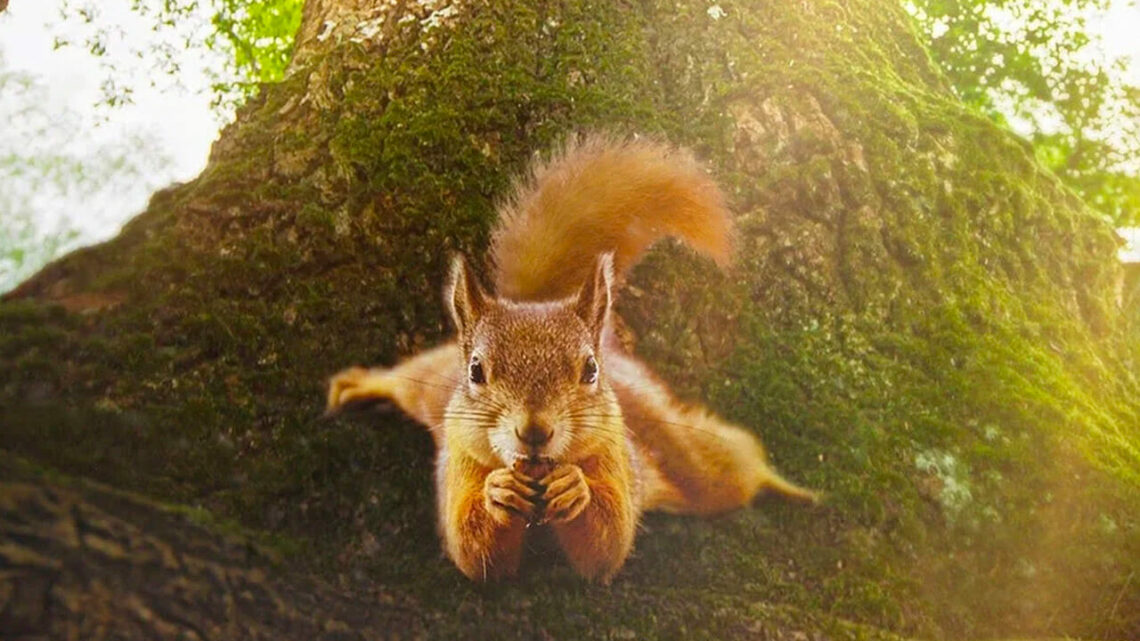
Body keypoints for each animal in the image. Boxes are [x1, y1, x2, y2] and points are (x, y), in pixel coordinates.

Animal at [326, 135, 816, 583]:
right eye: (477, 371)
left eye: (589, 370)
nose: (534, 431)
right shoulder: (460, 460)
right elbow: (475, 554)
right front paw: (497, 492)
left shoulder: (615, 453)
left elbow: (606, 546)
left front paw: (576, 489)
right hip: (431, 386)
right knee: (407, 378)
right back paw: (362, 383)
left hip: (680, 450)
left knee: (725, 466)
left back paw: (788, 485)